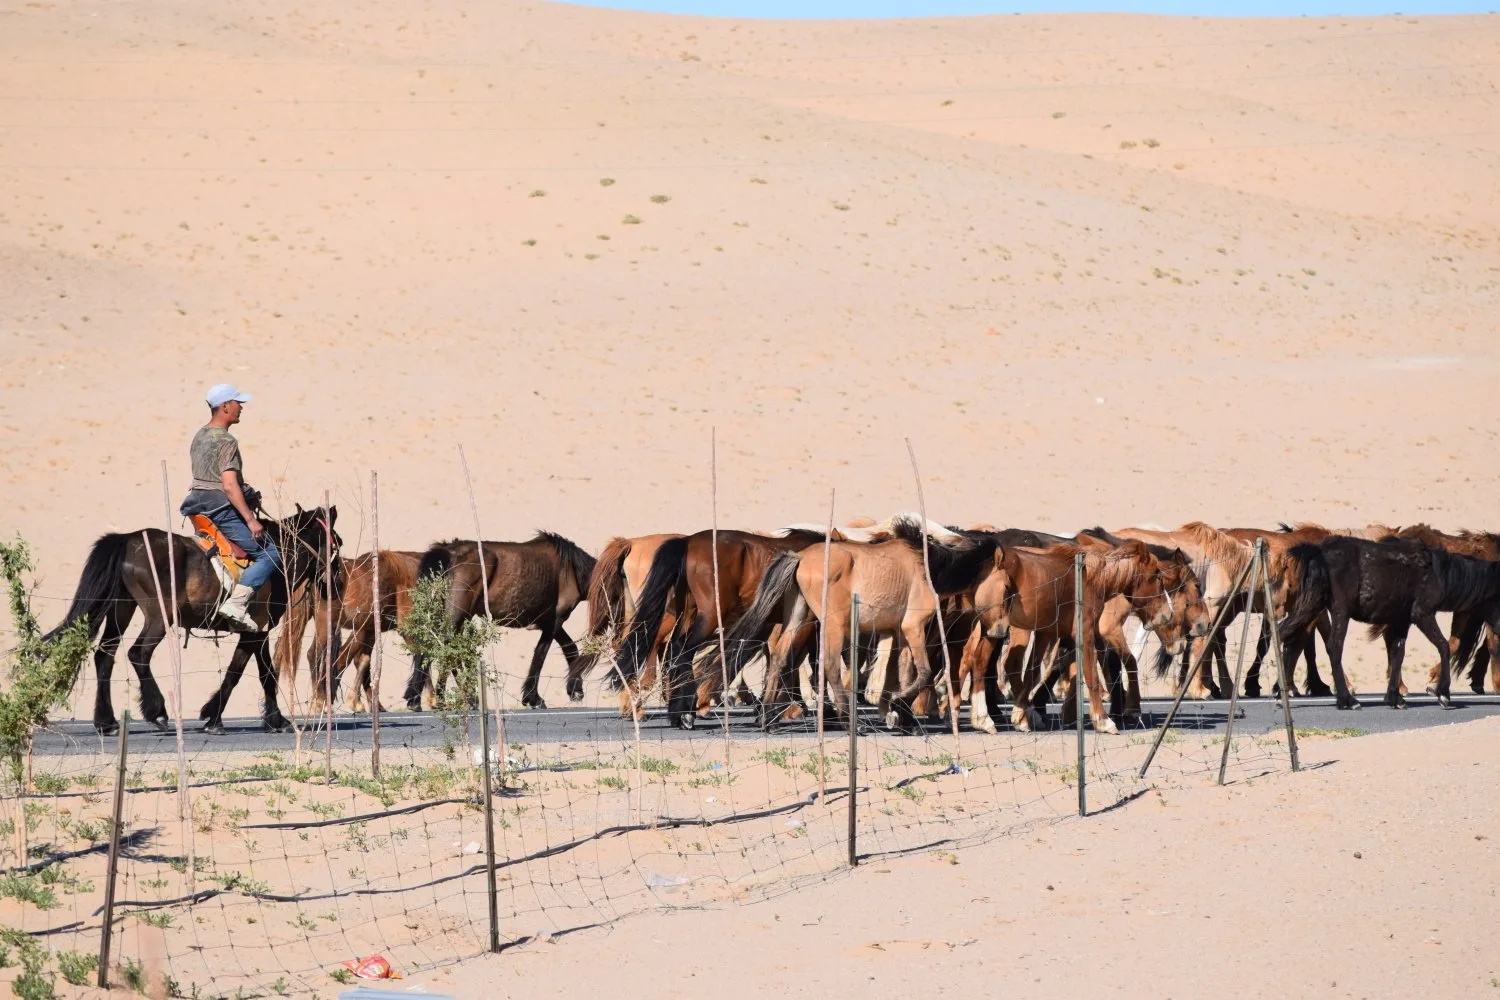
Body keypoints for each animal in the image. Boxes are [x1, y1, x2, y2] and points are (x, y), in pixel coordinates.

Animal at [42, 505, 341, 735]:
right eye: (337, 542)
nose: (337, 584)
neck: (280, 558)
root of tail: (128, 540)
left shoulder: (257, 630)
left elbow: (263, 673)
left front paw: (273, 719)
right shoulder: (254, 632)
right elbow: (240, 672)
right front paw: (216, 717)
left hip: (122, 609)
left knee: (105, 655)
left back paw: (106, 722)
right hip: (160, 615)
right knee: (138, 653)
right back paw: (157, 711)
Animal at [402, 533, 597, 710]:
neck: (571, 570)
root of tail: (447, 551)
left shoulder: (546, 622)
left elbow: (569, 648)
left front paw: (574, 689)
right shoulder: (555, 621)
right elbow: (541, 656)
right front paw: (534, 698)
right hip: (456, 616)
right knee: (445, 648)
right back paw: (441, 699)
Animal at [1278, 536, 1500, 710]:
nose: (1498, 628)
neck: (1439, 573)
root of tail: (1319, 552)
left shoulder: (1402, 621)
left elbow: (1397, 654)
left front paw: (1395, 697)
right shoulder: (1422, 615)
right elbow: (1443, 646)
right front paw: (1443, 693)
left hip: (1311, 605)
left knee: (1285, 636)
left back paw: (1282, 695)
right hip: (1340, 611)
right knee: (1333, 646)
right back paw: (1347, 700)